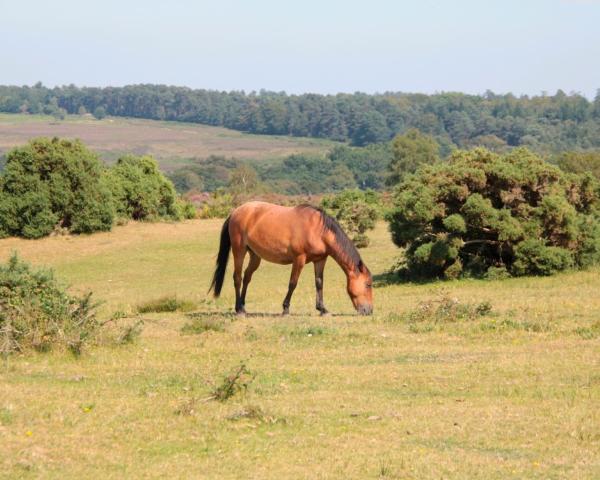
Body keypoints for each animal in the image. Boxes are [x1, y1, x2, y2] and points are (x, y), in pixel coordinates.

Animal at [209, 200, 372, 316]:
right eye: (368, 284)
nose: (369, 311)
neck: (318, 230)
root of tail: (235, 212)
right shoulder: (299, 259)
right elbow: (293, 283)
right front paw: (285, 309)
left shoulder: (320, 260)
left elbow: (319, 283)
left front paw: (322, 309)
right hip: (239, 251)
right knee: (237, 278)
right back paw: (239, 309)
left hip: (255, 256)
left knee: (247, 277)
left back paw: (243, 306)